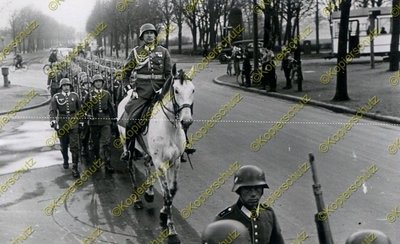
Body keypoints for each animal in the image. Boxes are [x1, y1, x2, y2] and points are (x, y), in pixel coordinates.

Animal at [116, 65, 195, 240]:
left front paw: (164, 213)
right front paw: (171, 227)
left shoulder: (175, 161)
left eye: (193, 90)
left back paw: (150, 192)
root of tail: (127, 95)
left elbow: (172, 190)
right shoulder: (160, 163)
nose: (186, 121)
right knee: (131, 168)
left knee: (146, 162)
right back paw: (137, 199)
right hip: (127, 144)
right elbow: (166, 193)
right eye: (176, 90)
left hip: (147, 150)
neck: (170, 127)